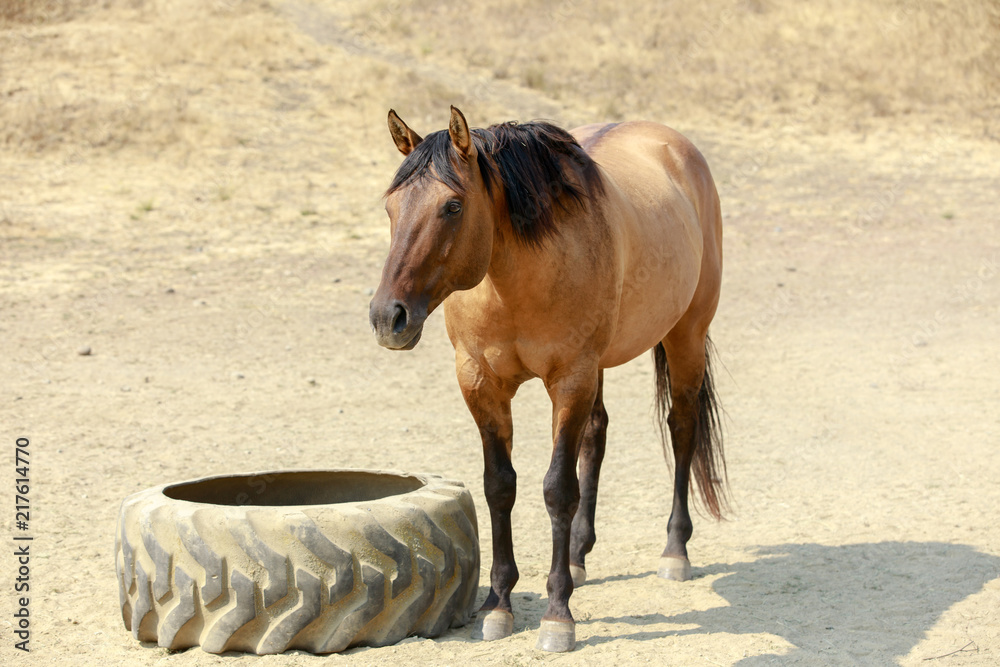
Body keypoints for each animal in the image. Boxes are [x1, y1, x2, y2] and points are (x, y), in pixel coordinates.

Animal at [369, 106, 727, 652]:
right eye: (391, 207)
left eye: (452, 206)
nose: (388, 317)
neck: (515, 277)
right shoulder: (481, 382)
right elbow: (500, 486)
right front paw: (498, 604)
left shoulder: (570, 378)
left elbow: (558, 489)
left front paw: (558, 615)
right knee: (597, 436)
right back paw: (578, 557)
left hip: (685, 334)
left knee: (682, 427)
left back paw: (674, 551)